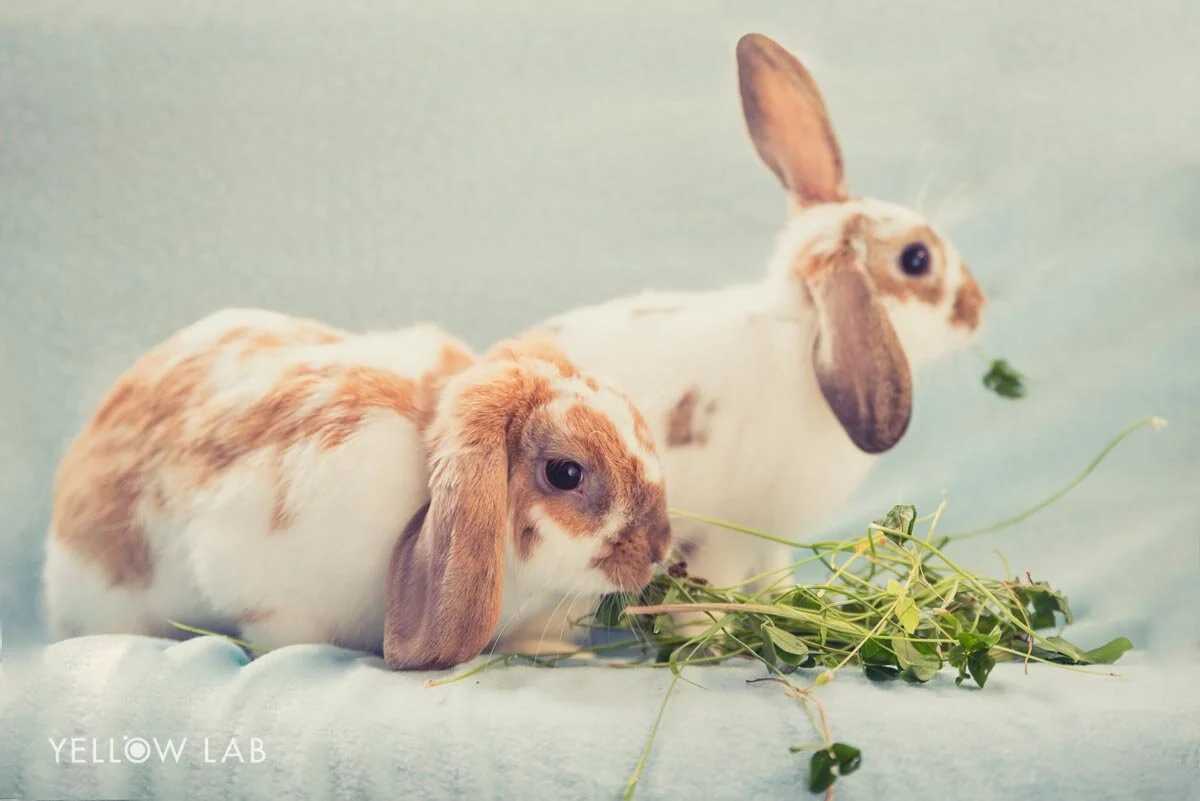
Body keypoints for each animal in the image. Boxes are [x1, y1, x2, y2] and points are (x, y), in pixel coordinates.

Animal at [520, 33, 988, 634]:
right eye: (916, 259)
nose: (977, 307)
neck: (808, 340)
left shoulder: (771, 541)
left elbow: (773, 580)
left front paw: (787, 610)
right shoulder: (721, 540)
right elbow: (705, 600)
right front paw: (713, 639)